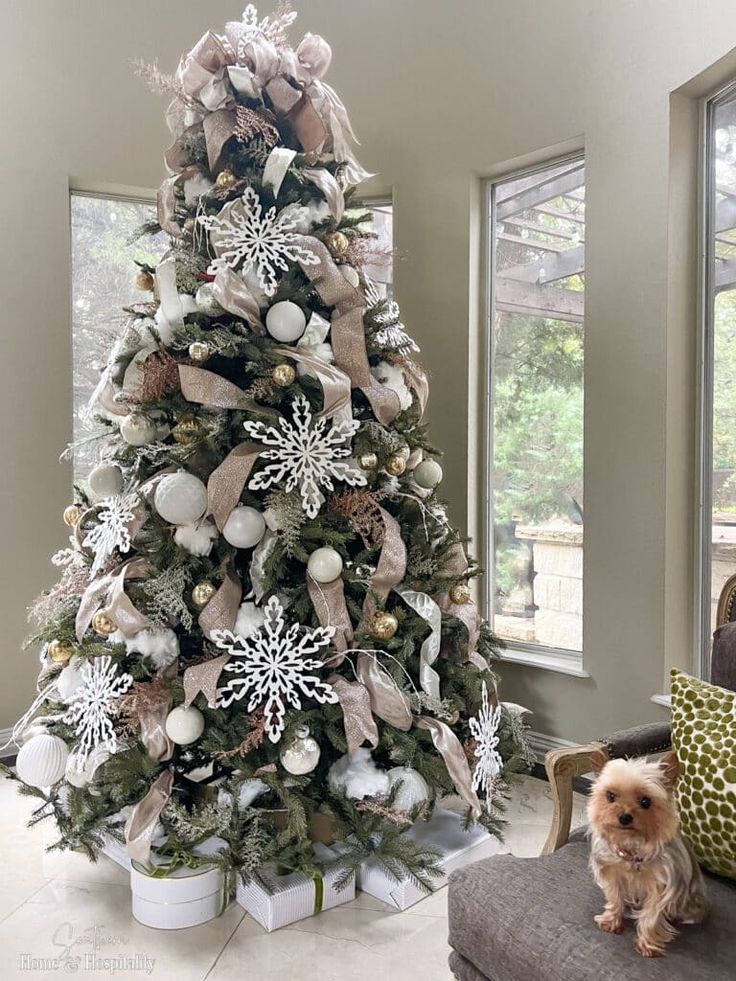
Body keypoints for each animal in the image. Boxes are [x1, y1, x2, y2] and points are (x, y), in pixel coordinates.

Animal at [588, 752, 708, 956]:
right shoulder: (612, 872)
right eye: (610, 796)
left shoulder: (662, 884)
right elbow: (614, 897)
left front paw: (648, 945)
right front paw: (611, 921)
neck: (633, 848)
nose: (624, 817)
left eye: (645, 802)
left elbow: (651, 915)